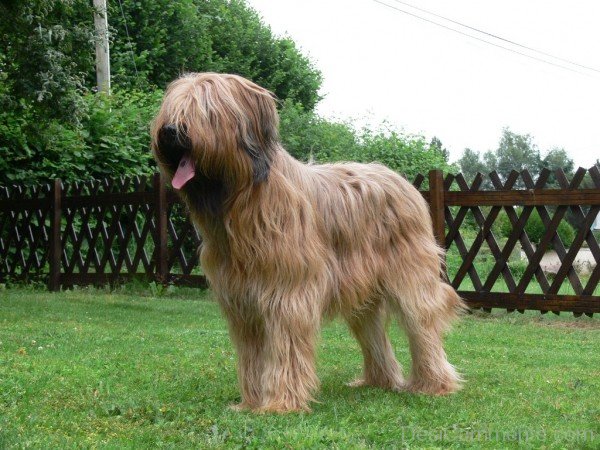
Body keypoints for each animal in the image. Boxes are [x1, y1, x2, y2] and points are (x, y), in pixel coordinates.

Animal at [150, 73, 464, 412]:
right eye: (172, 107)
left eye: (205, 109)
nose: (169, 131)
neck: (243, 201)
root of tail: (401, 179)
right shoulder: (241, 301)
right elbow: (251, 353)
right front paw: (250, 403)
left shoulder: (287, 293)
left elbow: (285, 346)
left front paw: (279, 404)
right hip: (362, 290)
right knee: (371, 329)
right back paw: (378, 381)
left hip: (411, 276)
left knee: (423, 323)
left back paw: (433, 384)